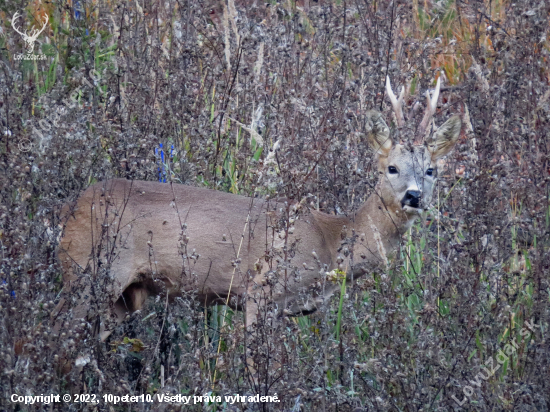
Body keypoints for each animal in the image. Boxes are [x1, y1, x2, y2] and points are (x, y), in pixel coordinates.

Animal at [54, 77, 464, 342]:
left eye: (431, 170)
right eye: (391, 167)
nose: (413, 196)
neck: (331, 241)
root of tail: (70, 209)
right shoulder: (260, 289)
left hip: (120, 296)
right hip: (89, 273)